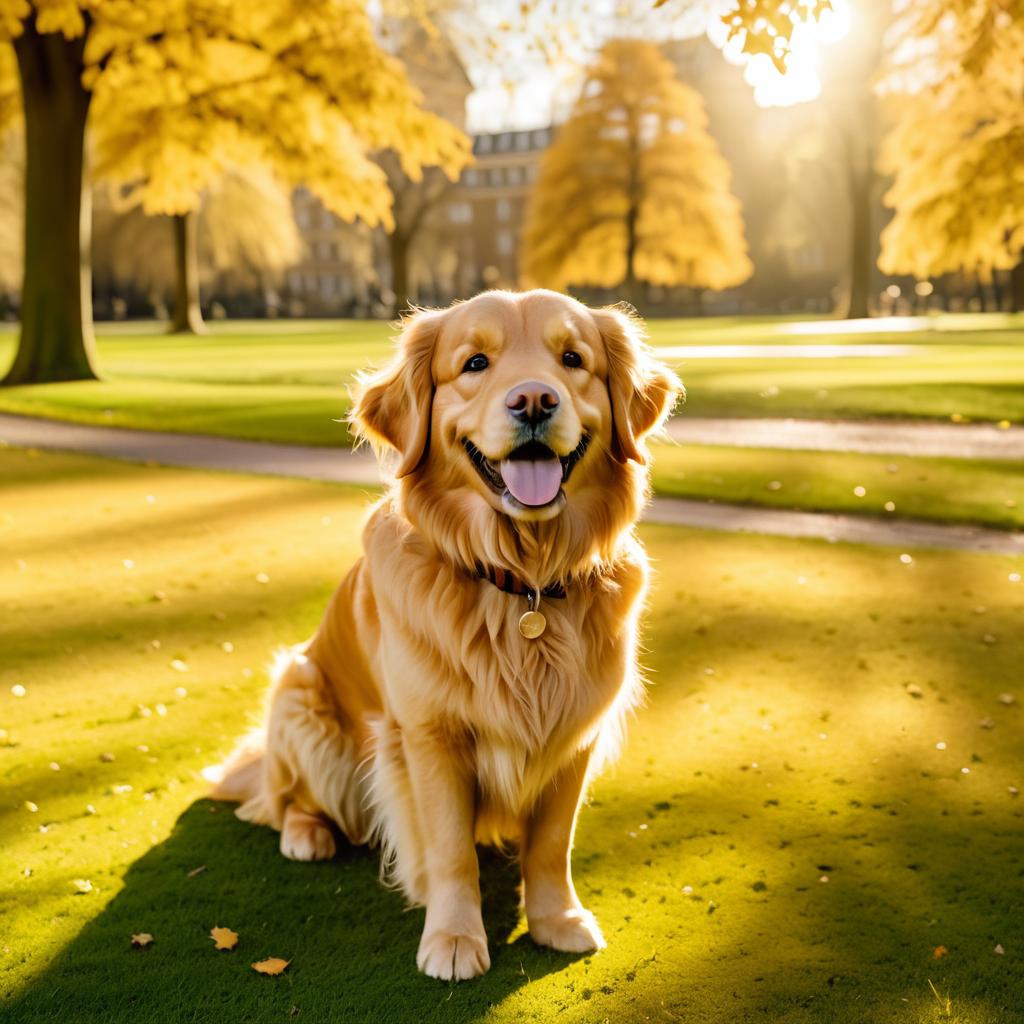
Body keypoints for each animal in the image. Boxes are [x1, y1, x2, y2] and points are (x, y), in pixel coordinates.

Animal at [209, 290, 679, 983]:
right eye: (474, 363)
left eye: (573, 359)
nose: (533, 400)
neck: (521, 585)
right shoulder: (430, 738)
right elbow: (452, 850)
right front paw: (454, 938)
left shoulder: (574, 736)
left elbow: (551, 845)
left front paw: (556, 921)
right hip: (300, 694)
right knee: (283, 798)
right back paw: (306, 834)